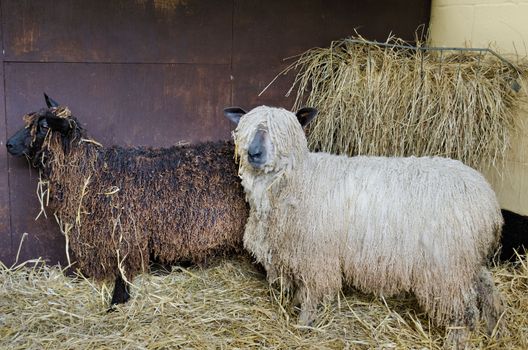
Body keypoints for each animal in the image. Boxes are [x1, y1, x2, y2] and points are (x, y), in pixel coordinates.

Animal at [5, 95, 250, 306]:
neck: (93, 173)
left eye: (44, 127)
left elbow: (122, 269)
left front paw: (118, 300)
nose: (8, 144)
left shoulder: (125, 232)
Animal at [225, 106, 506, 348]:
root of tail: (488, 198)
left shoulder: (316, 256)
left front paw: (304, 324)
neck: (298, 180)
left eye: (282, 132)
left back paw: (457, 340)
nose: (253, 153)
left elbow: (313, 293)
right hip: (465, 259)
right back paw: (494, 325)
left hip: (446, 267)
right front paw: (296, 307)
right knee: (486, 285)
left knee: (463, 311)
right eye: (247, 130)